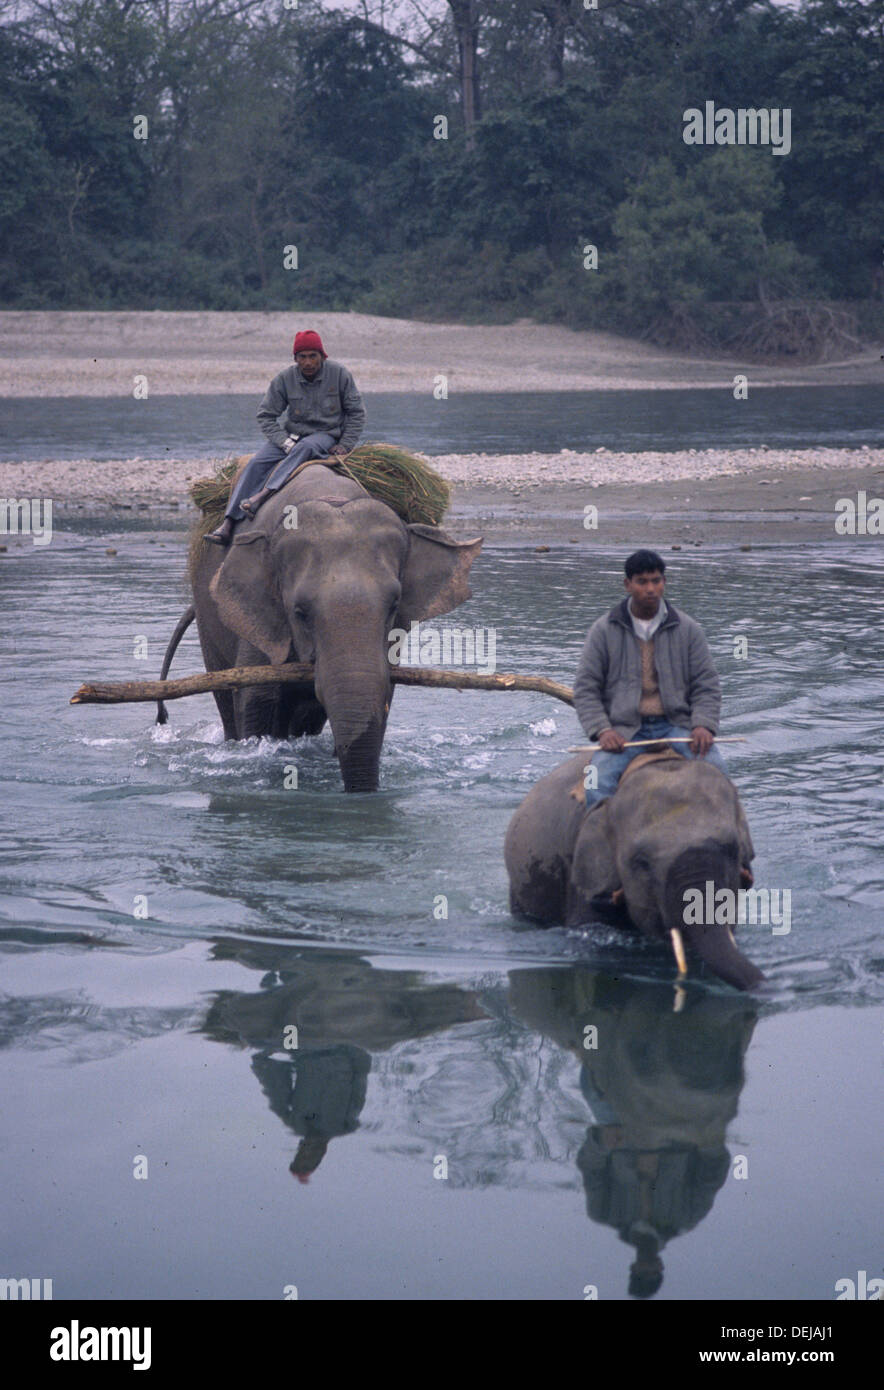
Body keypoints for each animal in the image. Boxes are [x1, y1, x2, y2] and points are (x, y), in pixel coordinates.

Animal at [159, 462, 482, 792]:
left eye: (394, 604)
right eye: (300, 612)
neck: (330, 497)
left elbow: (381, 692)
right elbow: (255, 697)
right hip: (208, 617)